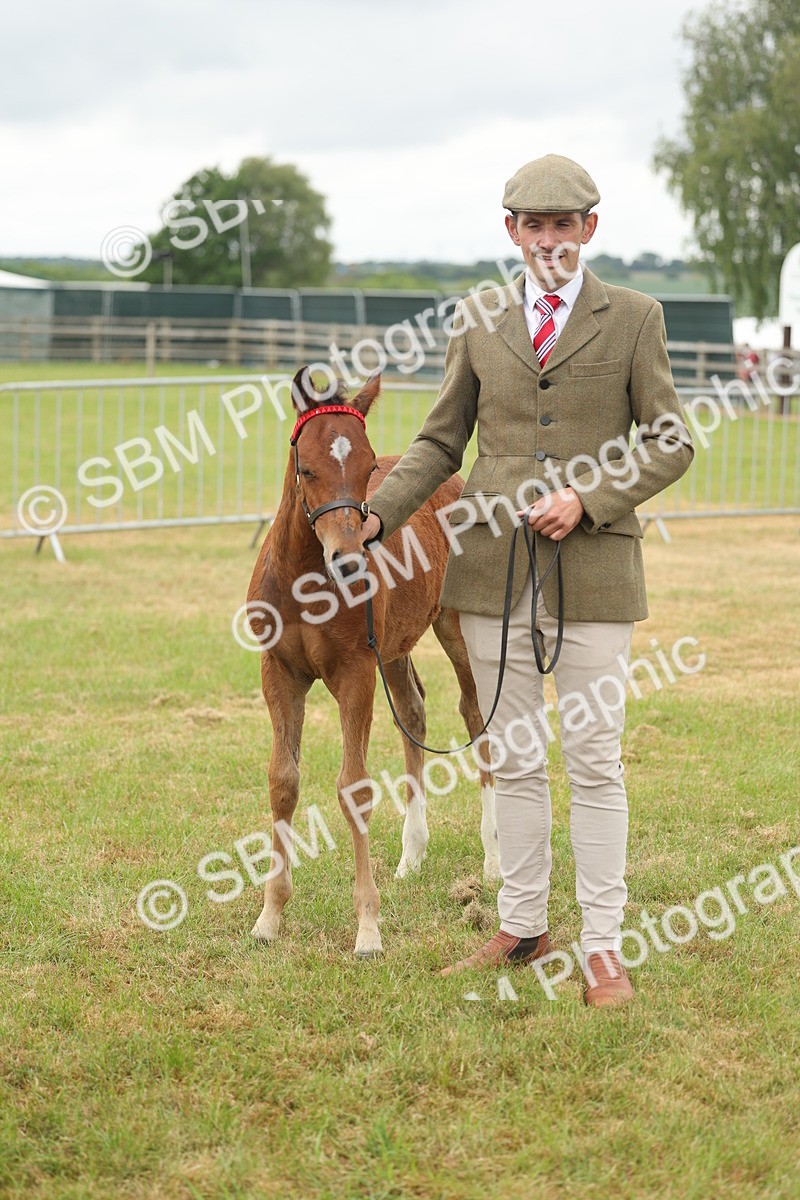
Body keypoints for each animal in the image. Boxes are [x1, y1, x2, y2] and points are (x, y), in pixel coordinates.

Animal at [245, 367, 499, 957]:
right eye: (307, 468)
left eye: (365, 468)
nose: (348, 558)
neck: (304, 580)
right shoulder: (279, 673)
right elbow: (283, 781)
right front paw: (269, 917)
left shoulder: (354, 673)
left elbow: (354, 788)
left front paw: (367, 927)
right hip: (396, 648)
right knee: (413, 713)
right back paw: (411, 856)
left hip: (455, 628)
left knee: (476, 718)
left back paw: (495, 860)